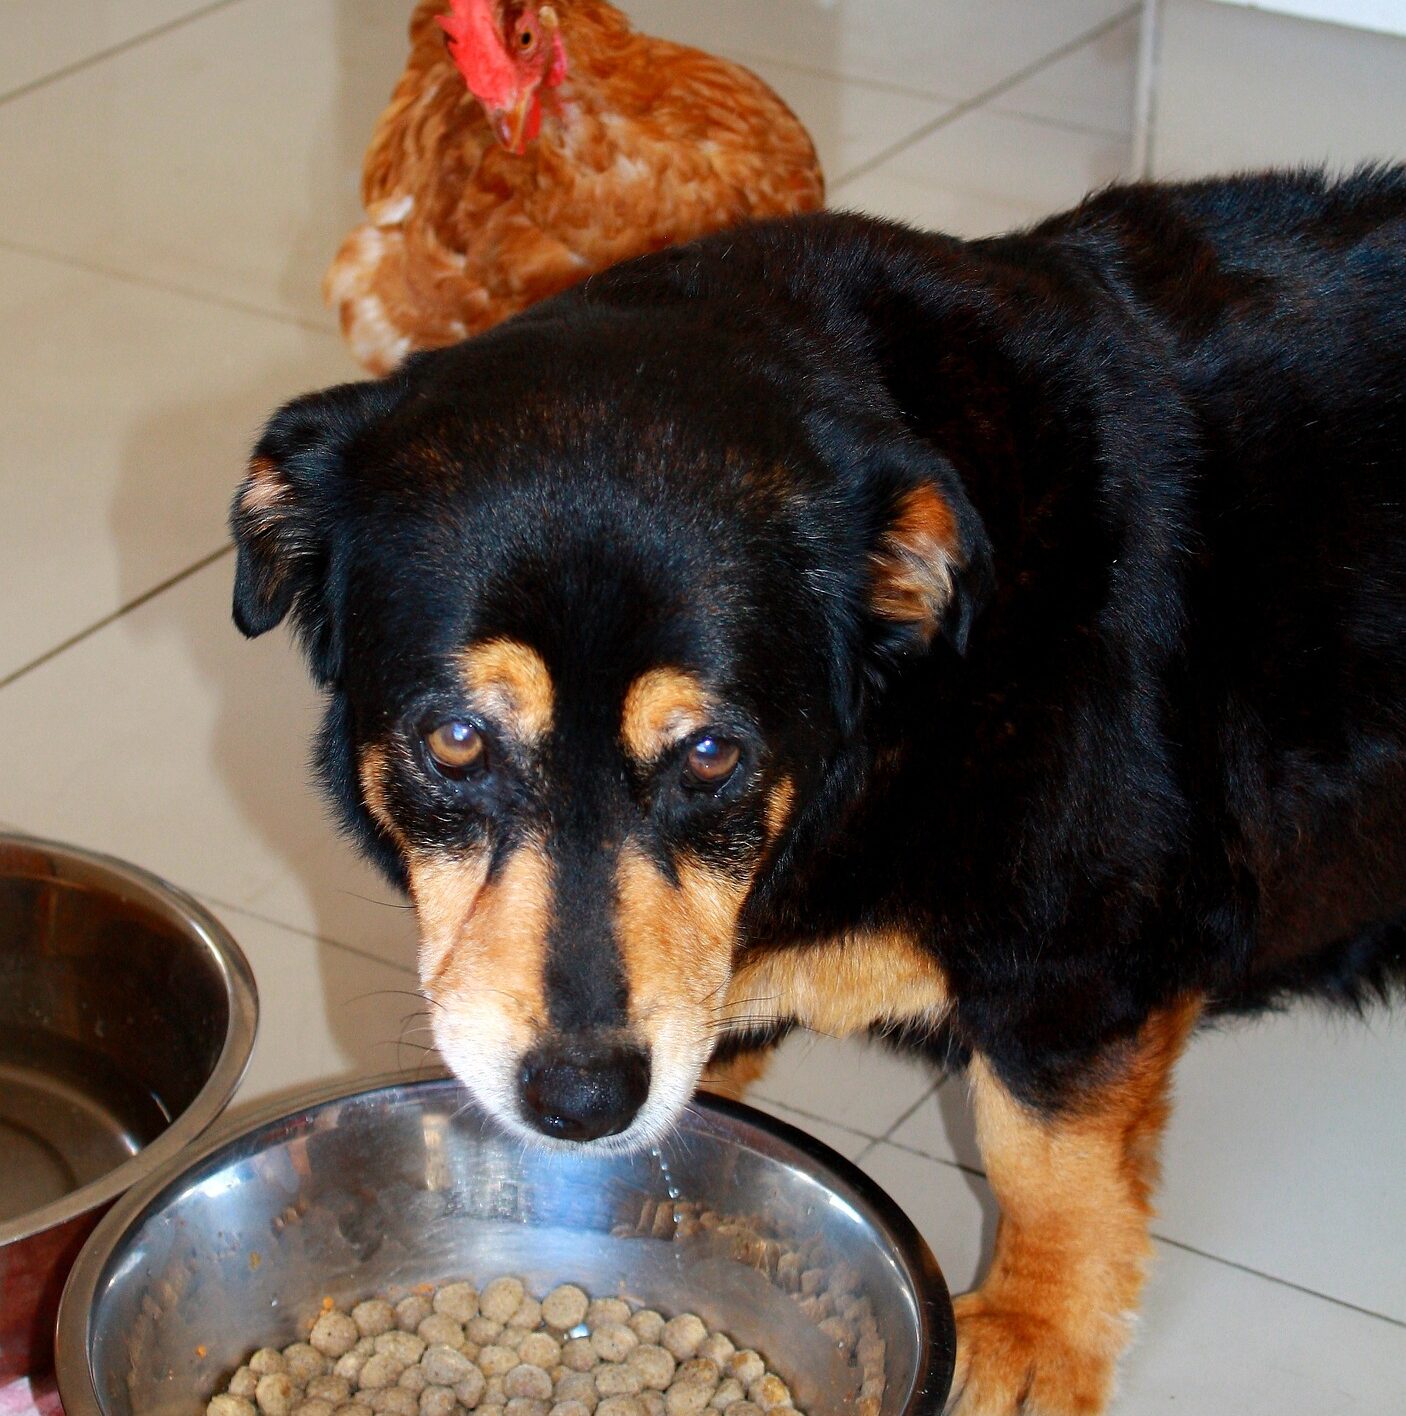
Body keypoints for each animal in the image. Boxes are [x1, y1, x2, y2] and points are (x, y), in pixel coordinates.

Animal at [233, 168, 1404, 1416]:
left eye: (711, 755)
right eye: (456, 741)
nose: (582, 1101)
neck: (890, 724)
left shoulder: (1079, 967)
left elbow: (1045, 1163)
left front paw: (1035, 1336)